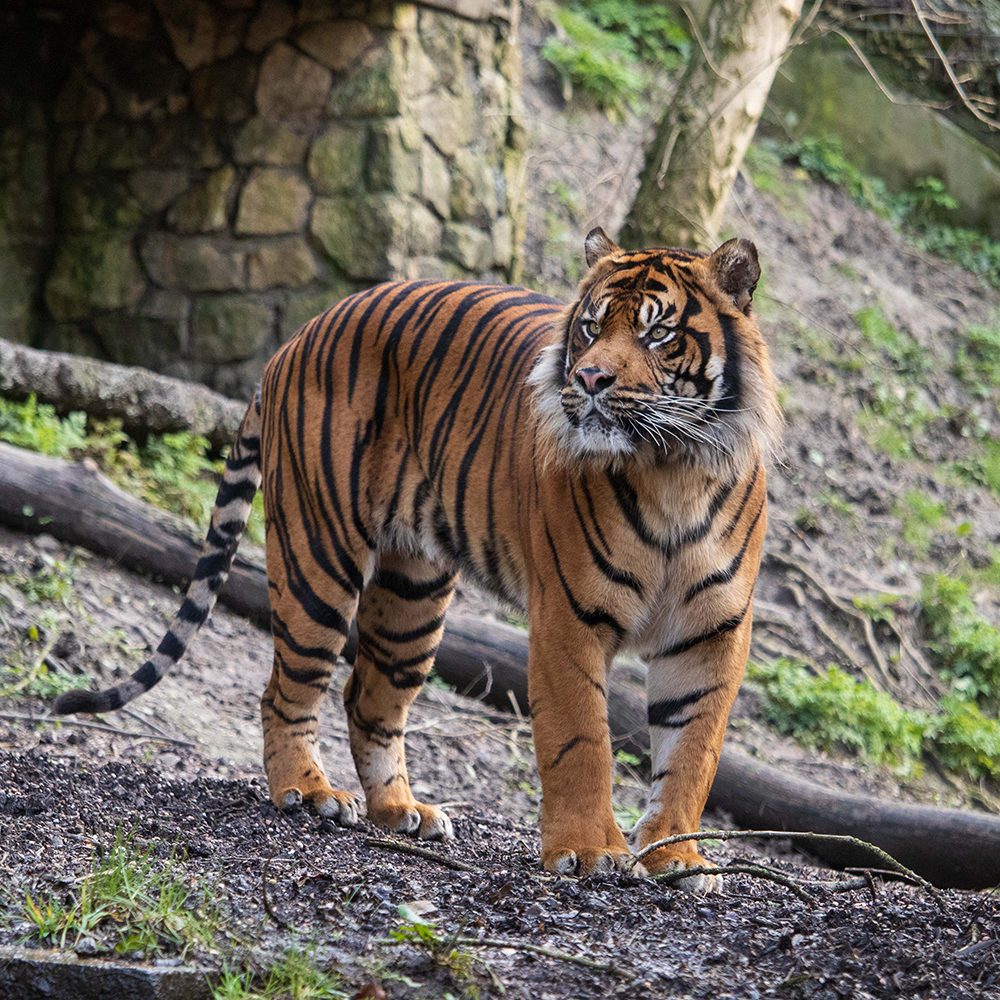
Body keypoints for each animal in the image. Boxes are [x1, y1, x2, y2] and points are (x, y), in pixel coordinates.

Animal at [54, 230, 784, 896]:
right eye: (590, 327)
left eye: (657, 333)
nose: (590, 379)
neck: (673, 470)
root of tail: (296, 337)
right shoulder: (569, 618)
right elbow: (583, 739)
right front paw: (587, 852)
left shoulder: (713, 632)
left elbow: (693, 750)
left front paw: (677, 857)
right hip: (319, 560)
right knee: (286, 690)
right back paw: (308, 792)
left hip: (414, 593)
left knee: (367, 696)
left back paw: (401, 810)